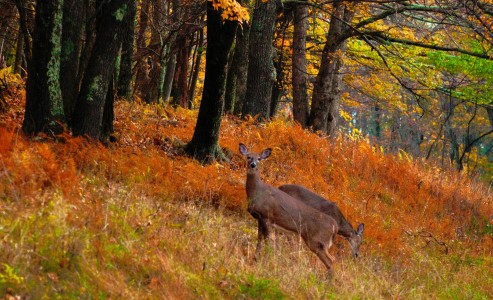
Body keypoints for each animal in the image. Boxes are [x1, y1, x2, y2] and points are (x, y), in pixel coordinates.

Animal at [238, 143, 338, 276]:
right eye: (248, 157)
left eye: (259, 158)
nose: (253, 164)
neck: (257, 192)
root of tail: (335, 226)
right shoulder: (259, 218)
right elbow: (260, 240)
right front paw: (255, 259)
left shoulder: (267, 216)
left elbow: (269, 242)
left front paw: (265, 262)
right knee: (331, 261)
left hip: (317, 240)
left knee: (331, 260)